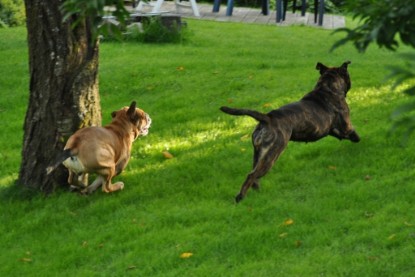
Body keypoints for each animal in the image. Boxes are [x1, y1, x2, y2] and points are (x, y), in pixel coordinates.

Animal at [221, 61, 360, 202]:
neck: (327, 88)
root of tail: (267, 118)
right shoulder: (346, 126)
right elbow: (353, 133)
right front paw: (357, 138)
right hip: (272, 154)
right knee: (252, 175)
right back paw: (240, 198)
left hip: (259, 154)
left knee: (254, 175)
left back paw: (257, 192)